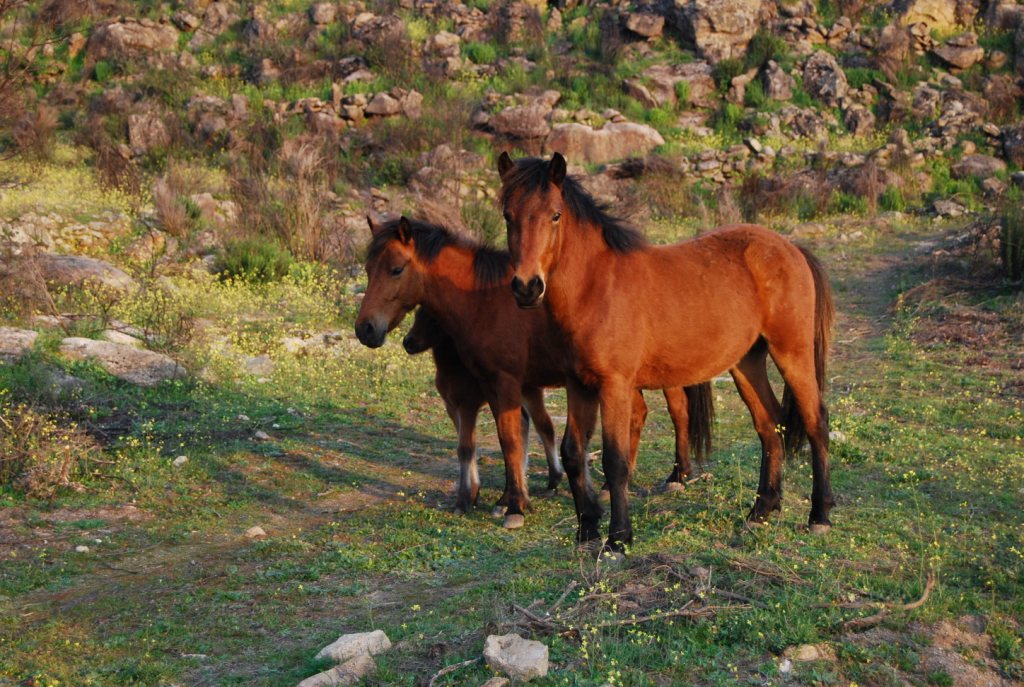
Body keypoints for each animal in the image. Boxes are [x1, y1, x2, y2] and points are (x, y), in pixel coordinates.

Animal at [354, 216, 714, 529]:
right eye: (369, 269)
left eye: (396, 269)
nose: (365, 329)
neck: (486, 301)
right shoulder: (492, 385)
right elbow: (509, 440)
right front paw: (508, 499)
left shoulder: (507, 382)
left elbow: (512, 440)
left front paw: (515, 507)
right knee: (640, 414)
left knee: (678, 411)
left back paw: (678, 477)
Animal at [498, 152, 835, 553]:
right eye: (507, 215)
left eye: (555, 215)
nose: (526, 287)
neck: (596, 287)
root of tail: (790, 248)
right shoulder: (578, 385)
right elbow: (573, 453)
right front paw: (587, 530)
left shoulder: (614, 386)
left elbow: (615, 461)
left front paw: (618, 539)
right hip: (746, 363)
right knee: (770, 425)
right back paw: (761, 511)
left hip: (791, 353)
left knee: (815, 422)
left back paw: (820, 515)